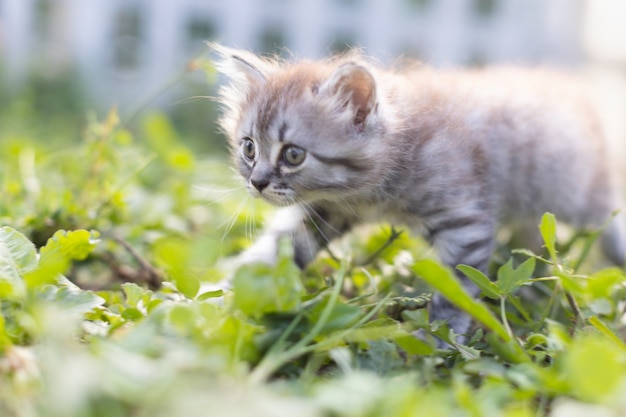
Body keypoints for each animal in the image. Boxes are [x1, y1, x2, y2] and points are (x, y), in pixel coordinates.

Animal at [211, 44, 624, 340]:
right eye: (249, 148)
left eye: (293, 155)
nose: (257, 183)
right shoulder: (324, 212)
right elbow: (270, 252)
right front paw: (220, 294)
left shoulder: (465, 223)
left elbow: (455, 291)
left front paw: (439, 339)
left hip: (578, 194)